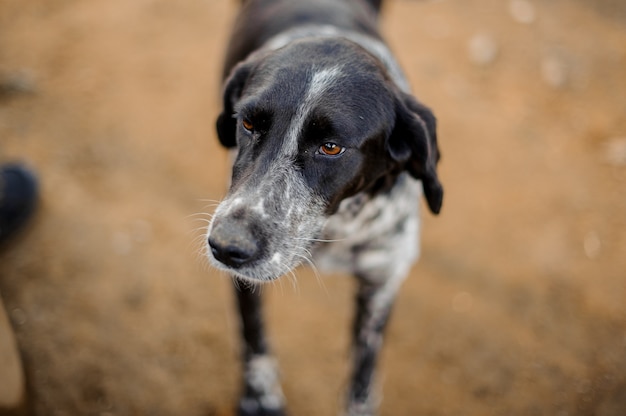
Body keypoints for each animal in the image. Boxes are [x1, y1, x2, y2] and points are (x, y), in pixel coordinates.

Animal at [207, 0, 442, 416]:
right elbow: (253, 336)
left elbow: (363, 374)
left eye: (331, 147)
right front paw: (259, 397)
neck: (334, 228)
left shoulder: (382, 279)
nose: (226, 247)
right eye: (247, 123)